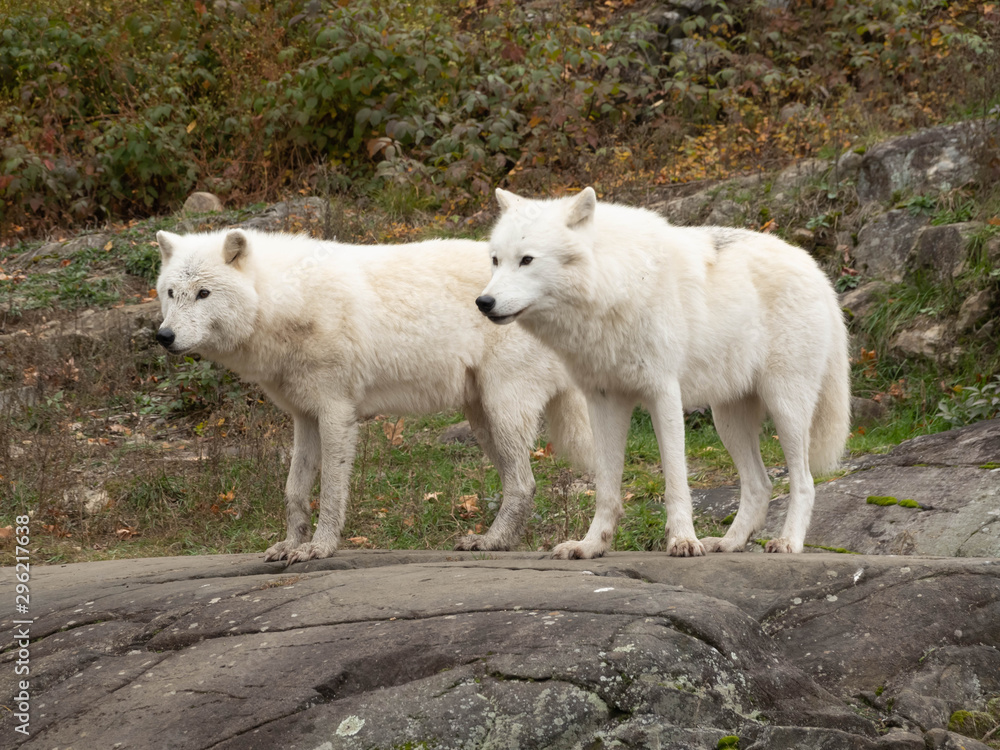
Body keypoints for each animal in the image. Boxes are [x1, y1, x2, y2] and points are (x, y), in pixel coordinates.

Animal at [154, 228, 592, 564]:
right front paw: (291, 544)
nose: (164, 336)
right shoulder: (304, 416)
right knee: (520, 482)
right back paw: (496, 542)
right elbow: (294, 491)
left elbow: (331, 489)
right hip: (481, 419)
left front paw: (319, 548)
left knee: (524, 483)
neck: (287, 299)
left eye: (204, 293)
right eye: (171, 293)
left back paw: (496, 540)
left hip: (502, 409)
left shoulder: (336, 413)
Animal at [476, 187, 850, 558]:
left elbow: (675, 480)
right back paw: (728, 542)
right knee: (760, 484)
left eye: (527, 260)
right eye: (495, 260)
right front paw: (592, 544)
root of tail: (814, 268)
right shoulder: (603, 400)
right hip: (728, 420)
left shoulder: (664, 393)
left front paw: (683, 540)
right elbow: (606, 487)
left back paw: (788, 542)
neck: (614, 284)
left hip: (786, 408)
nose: (484, 302)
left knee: (804, 481)